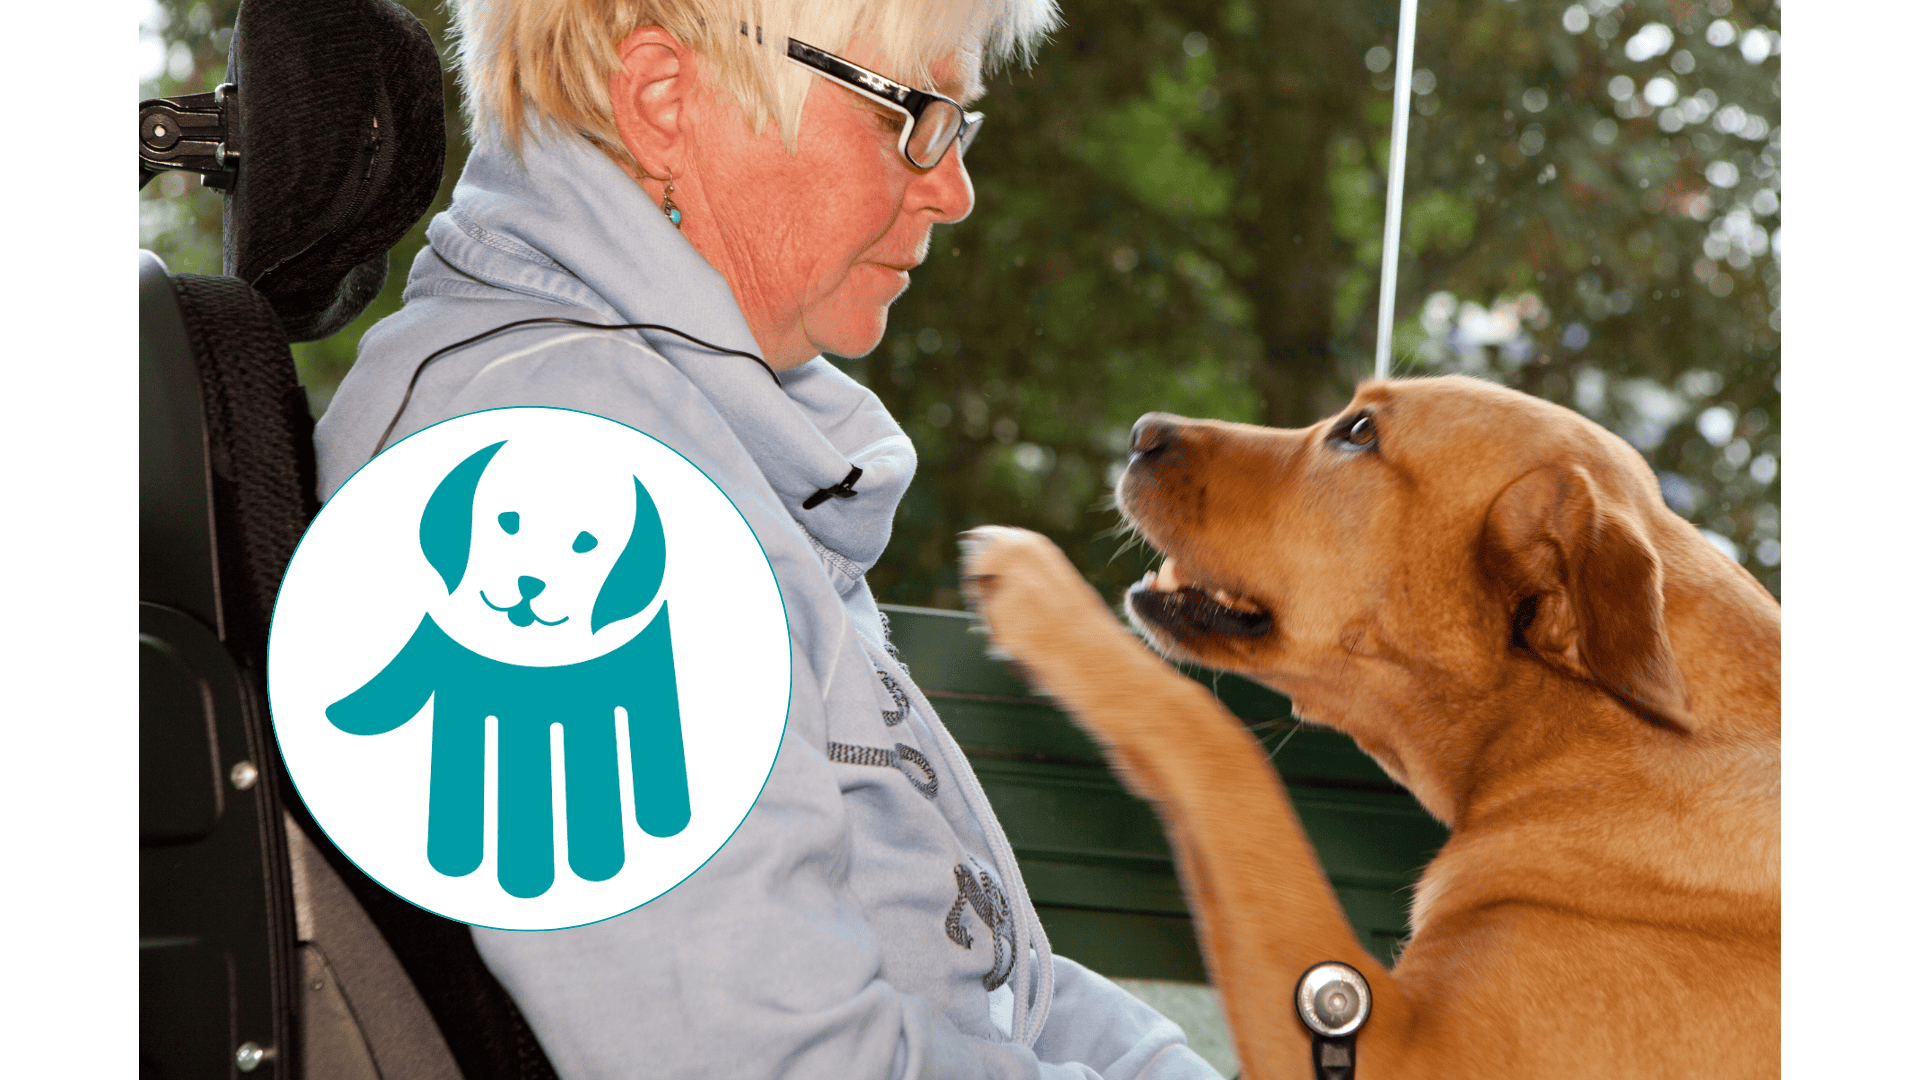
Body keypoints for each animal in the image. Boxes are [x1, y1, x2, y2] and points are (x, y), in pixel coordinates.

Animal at [960, 374, 1781, 1068]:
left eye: (1358, 432)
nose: (1142, 432)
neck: (1584, 727)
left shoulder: (1405, 1051)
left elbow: (1222, 750)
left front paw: (1049, 600)